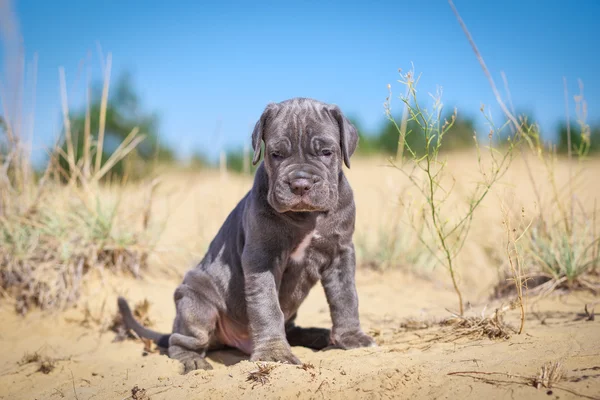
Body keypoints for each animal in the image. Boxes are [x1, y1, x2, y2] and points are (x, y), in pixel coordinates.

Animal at [117, 97, 376, 372]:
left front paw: (352, 338)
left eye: (326, 152)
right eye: (276, 154)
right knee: (181, 340)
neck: (307, 217)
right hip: (196, 303)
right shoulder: (262, 258)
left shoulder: (340, 252)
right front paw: (274, 353)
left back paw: (318, 335)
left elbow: (346, 297)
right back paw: (192, 360)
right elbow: (267, 307)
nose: (300, 184)